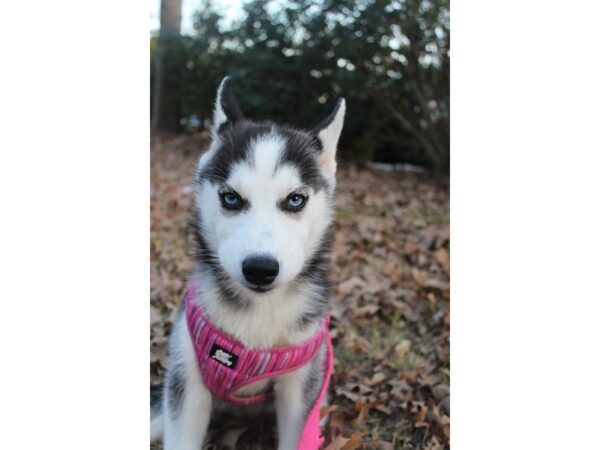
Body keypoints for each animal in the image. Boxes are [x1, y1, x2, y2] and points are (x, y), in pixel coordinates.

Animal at [150, 79, 344, 448]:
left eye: (295, 200)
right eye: (231, 198)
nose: (260, 268)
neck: (259, 311)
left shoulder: (301, 387)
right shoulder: (186, 380)